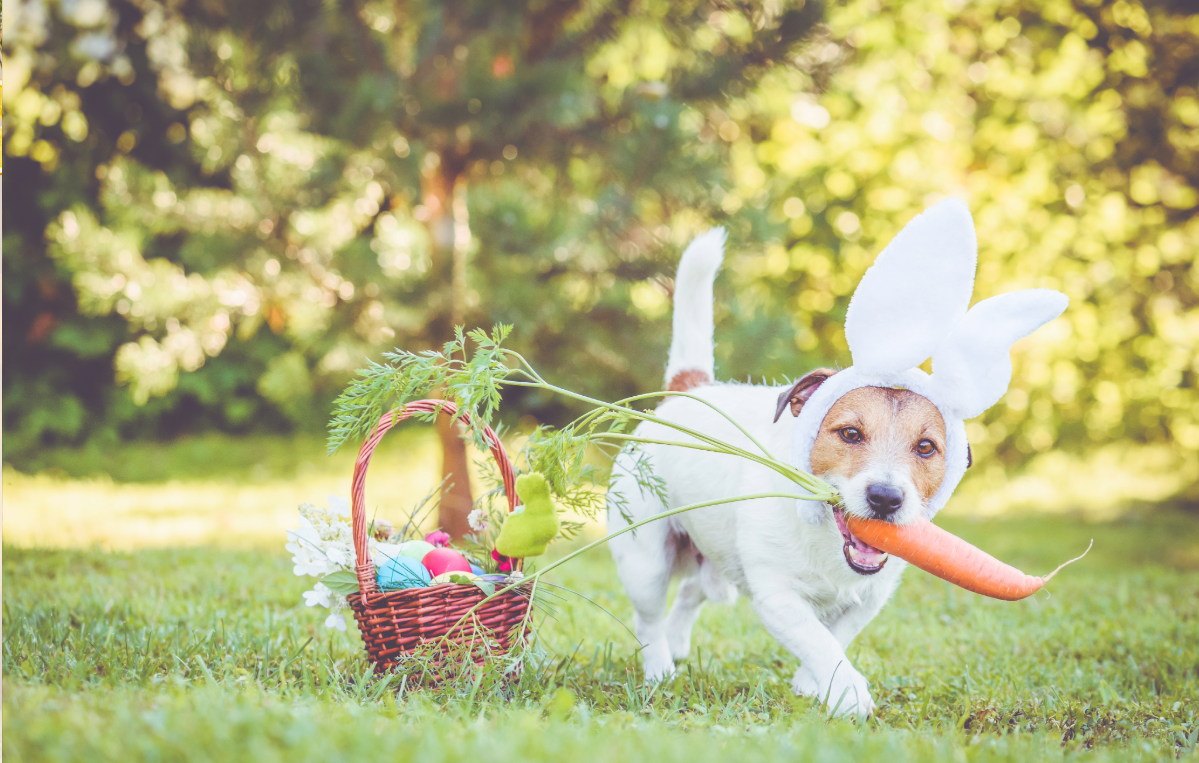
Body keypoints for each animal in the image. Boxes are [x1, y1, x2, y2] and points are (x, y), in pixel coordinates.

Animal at [609, 199, 1069, 719]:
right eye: (850, 433)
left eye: (926, 447)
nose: (886, 498)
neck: (827, 541)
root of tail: (689, 390)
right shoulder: (779, 597)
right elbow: (818, 639)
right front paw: (848, 693)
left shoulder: (868, 598)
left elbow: (838, 635)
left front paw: (812, 685)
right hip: (646, 557)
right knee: (646, 618)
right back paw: (660, 669)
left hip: (711, 559)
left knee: (693, 591)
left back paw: (679, 645)